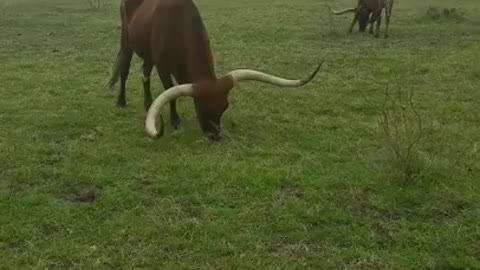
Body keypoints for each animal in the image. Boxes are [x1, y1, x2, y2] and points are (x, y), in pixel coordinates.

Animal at [105, 0, 322, 139]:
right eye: (201, 106)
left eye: (224, 106)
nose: (216, 135)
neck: (178, 24)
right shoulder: (163, 66)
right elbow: (170, 93)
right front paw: (175, 121)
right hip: (127, 41)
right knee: (124, 71)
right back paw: (121, 100)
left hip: (147, 53)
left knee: (145, 74)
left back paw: (148, 102)